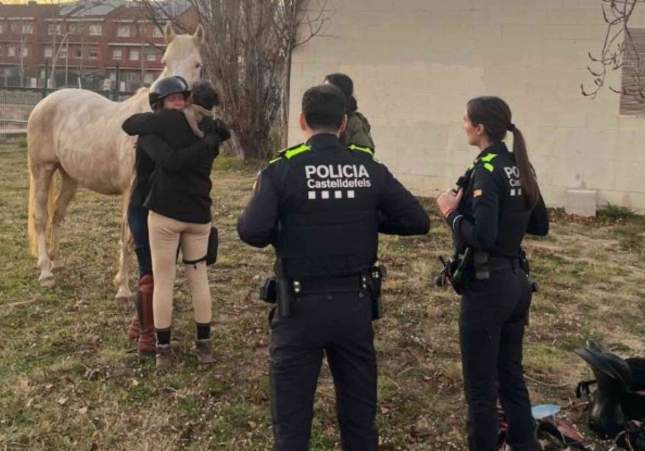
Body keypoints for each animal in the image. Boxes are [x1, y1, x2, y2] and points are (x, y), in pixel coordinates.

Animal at [27, 23, 204, 302]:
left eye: (197, 64)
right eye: (165, 61)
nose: (178, 98)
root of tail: (44, 102)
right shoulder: (131, 193)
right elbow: (128, 235)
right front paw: (123, 288)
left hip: (69, 178)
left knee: (57, 214)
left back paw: (54, 261)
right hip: (42, 170)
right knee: (42, 217)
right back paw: (45, 272)